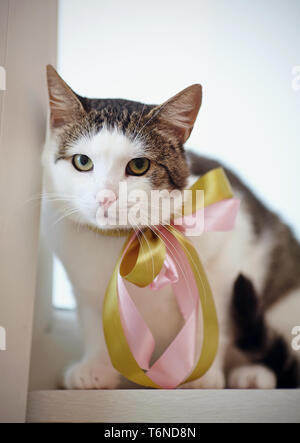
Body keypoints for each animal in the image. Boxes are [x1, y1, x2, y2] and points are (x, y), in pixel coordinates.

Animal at [41, 65, 300, 388]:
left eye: (139, 166)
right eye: (82, 161)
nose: (106, 196)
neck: (127, 242)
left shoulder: (227, 261)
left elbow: (211, 323)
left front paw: (201, 375)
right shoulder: (86, 287)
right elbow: (96, 325)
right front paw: (96, 367)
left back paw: (254, 373)